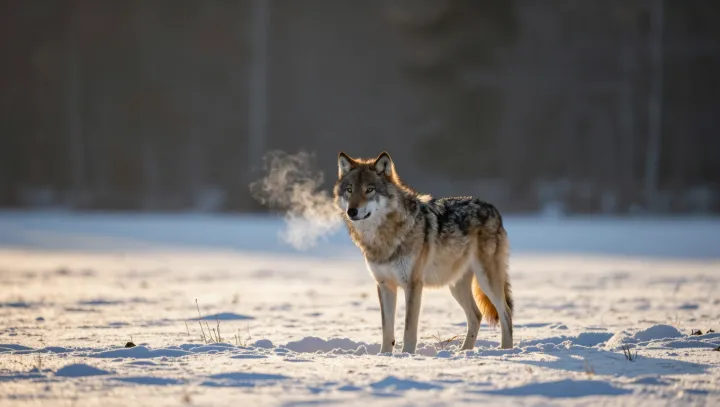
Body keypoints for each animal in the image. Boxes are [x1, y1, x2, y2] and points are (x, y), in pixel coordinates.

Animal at [333, 151, 514, 354]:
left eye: (369, 190)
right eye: (349, 190)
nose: (352, 211)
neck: (383, 236)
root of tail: (493, 208)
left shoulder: (412, 284)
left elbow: (409, 328)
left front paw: (407, 355)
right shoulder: (384, 285)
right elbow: (387, 329)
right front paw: (384, 355)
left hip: (486, 281)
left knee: (506, 313)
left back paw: (506, 351)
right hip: (455, 285)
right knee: (476, 315)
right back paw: (464, 352)